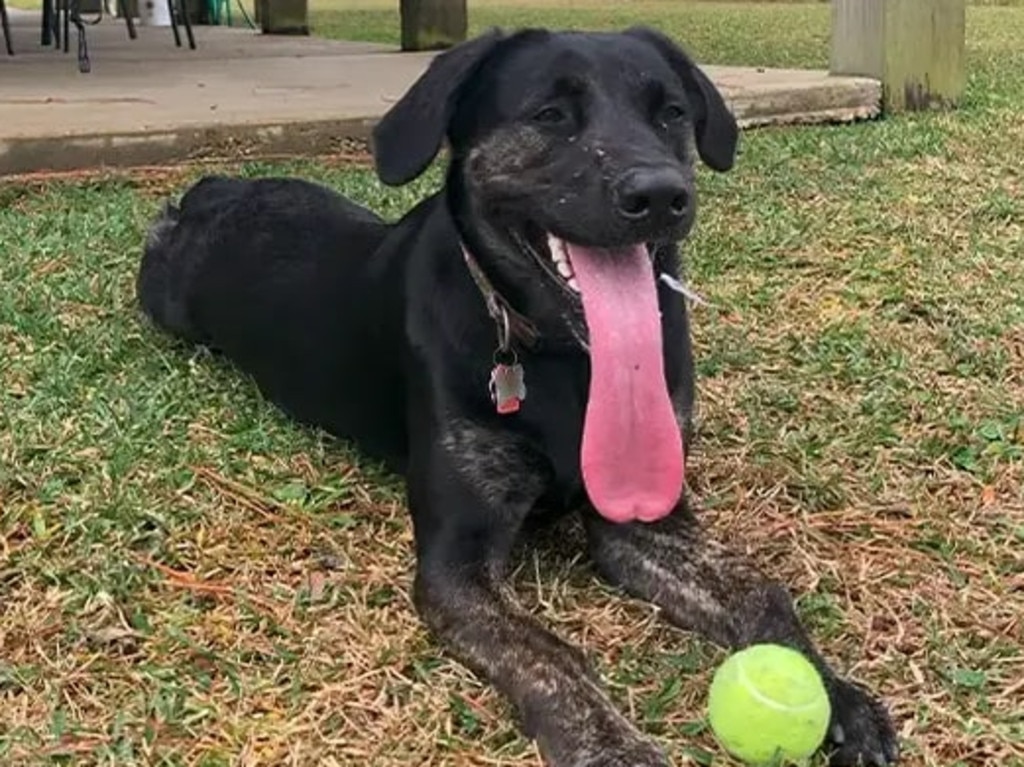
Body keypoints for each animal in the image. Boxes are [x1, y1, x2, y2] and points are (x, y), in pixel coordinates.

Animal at [136, 25, 897, 765]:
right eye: (550, 114)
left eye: (672, 113)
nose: (660, 194)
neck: (566, 361)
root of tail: (214, 187)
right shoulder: (457, 563)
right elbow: (550, 655)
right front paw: (611, 745)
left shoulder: (645, 518)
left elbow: (760, 590)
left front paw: (837, 693)